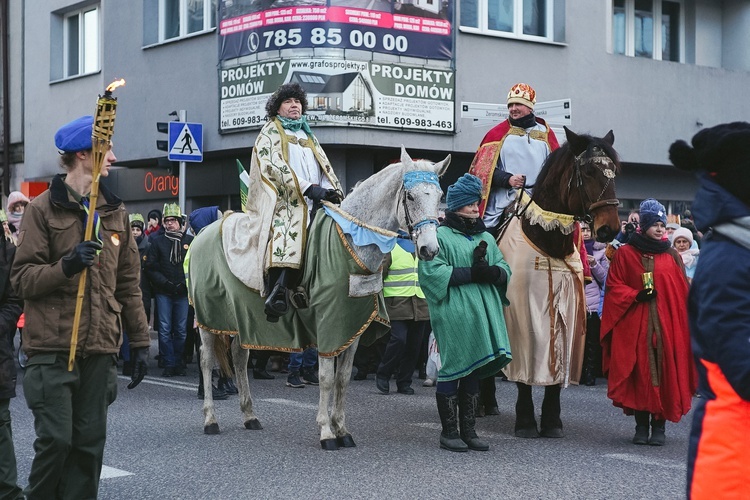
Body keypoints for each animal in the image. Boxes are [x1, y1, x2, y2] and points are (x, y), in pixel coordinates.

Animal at [191, 147, 450, 450]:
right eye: (410, 196)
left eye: (440, 196)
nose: (429, 249)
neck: (351, 242)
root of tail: (205, 231)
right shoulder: (329, 324)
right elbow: (326, 378)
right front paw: (326, 432)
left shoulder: (353, 326)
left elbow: (343, 379)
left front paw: (342, 429)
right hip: (209, 316)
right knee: (207, 360)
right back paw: (210, 419)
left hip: (241, 317)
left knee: (239, 356)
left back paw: (250, 415)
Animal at [500, 126, 624, 438]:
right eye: (589, 171)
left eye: (614, 171)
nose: (610, 229)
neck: (548, 236)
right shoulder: (523, 316)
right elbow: (524, 370)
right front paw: (526, 421)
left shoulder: (571, 309)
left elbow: (561, 366)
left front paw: (552, 420)